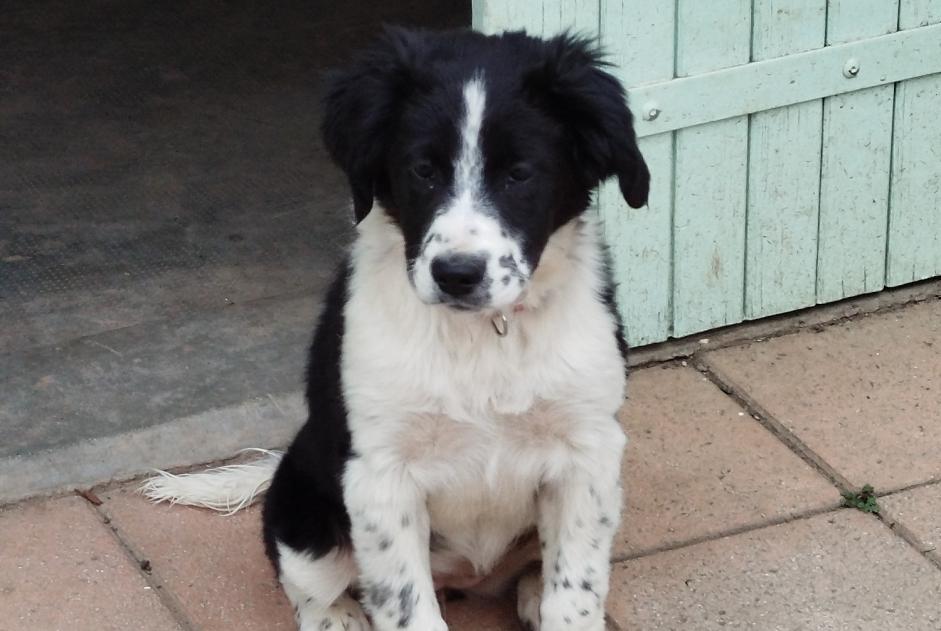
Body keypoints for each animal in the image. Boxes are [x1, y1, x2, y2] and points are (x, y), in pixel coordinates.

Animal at [143, 25, 648, 631]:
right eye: (422, 170)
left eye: (520, 174)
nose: (457, 274)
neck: (481, 337)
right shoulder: (379, 474)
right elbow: (408, 605)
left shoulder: (587, 453)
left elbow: (574, 594)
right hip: (303, 507)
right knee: (308, 584)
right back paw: (338, 617)